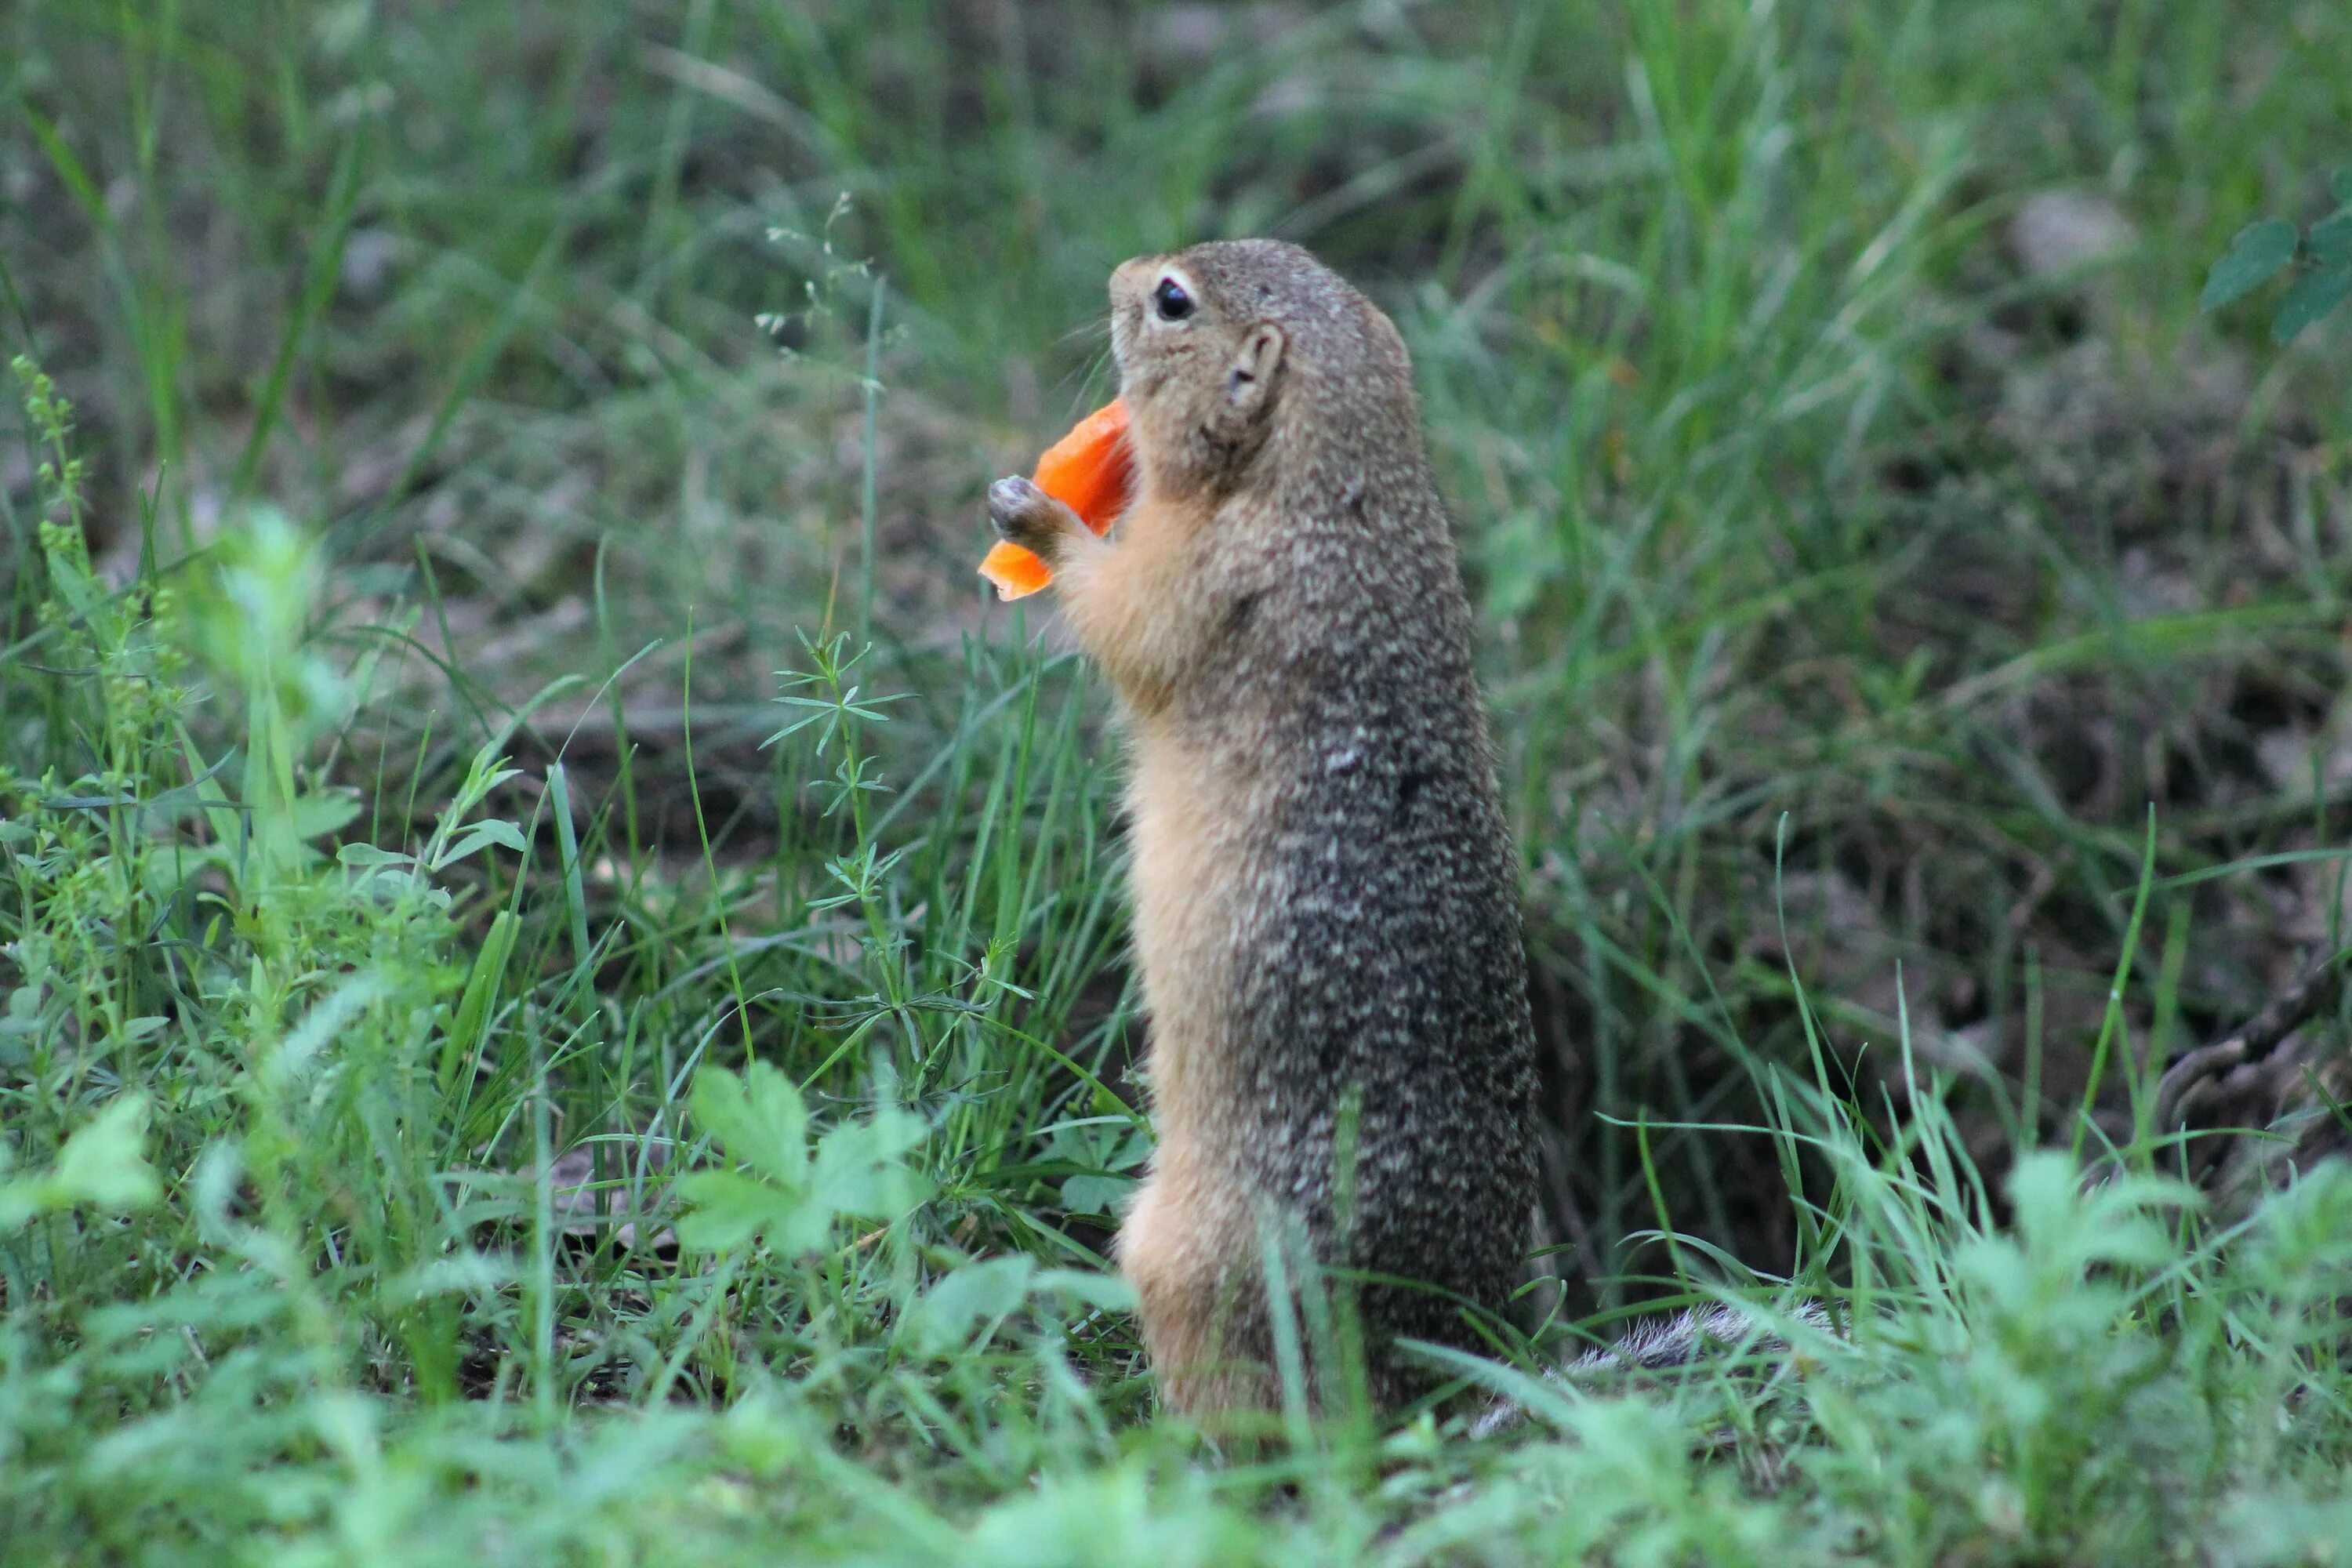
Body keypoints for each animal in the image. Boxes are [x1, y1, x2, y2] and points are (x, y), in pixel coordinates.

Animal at [978, 236, 1543, 1420]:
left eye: (1172, 301)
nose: (1117, 272)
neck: (1335, 480)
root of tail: (1436, 1372)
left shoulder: (1201, 573)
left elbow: (1124, 615)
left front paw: (1038, 514)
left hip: (1185, 1256)